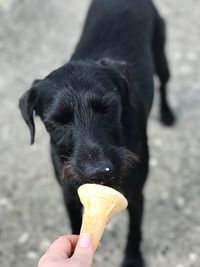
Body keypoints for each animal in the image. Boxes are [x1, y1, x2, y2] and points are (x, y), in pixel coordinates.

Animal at [18, 0, 175, 267]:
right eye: (57, 121)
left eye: (107, 107)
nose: (99, 171)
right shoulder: (69, 194)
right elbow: (75, 224)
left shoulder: (135, 194)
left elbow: (134, 231)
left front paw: (132, 259)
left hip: (161, 54)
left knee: (164, 82)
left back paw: (166, 113)